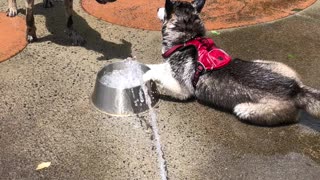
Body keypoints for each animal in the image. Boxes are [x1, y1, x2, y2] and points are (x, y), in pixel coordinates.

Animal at [144, 0, 320, 126]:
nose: (157, 8)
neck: (188, 39)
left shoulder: (183, 90)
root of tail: (295, 89)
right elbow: (156, 67)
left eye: (165, 8)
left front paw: (146, 77)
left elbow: (158, 76)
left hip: (244, 108)